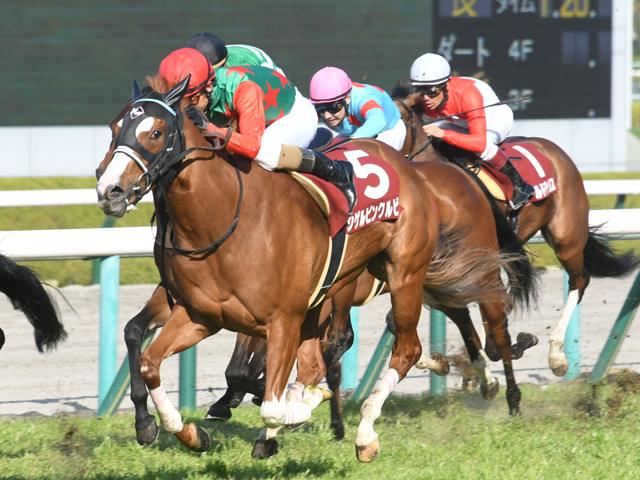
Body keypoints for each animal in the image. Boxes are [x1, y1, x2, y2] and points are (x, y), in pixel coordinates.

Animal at [96, 76, 504, 462]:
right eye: (114, 128)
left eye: (155, 132)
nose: (108, 189)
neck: (222, 219)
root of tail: (408, 166)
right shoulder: (200, 314)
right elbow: (149, 362)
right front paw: (182, 433)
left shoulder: (281, 320)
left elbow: (271, 404)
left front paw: (299, 408)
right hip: (330, 295)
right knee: (322, 360)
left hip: (404, 274)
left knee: (407, 347)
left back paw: (367, 431)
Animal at [392, 80, 636, 376]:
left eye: (399, 119)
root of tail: (553, 149)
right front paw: (439, 362)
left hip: (565, 235)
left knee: (579, 280)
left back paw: (557, 355)